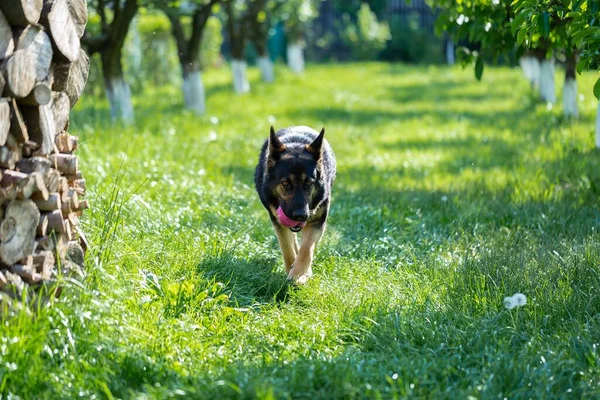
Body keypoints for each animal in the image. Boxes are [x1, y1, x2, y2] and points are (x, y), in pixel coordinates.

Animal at [254, 126, 336, 284]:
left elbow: (307, 249)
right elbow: (287, 247)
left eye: (309, 183)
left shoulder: (317, 221)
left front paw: (298, 275)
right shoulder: (278, 221)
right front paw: (291, 269)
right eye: (286, 183)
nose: (300, 215)